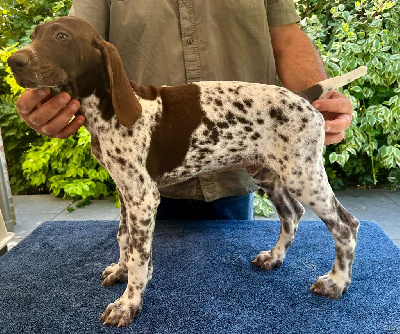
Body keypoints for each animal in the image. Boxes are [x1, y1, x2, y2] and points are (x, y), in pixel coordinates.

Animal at [7, 17, 368, 328]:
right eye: (35, 35)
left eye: (61, 37)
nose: (13, 61)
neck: (108, 109)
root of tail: (302, 97)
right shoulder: (125, 191)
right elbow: (124, 239)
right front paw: (121, 272)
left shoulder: (143, 197)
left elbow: (139, 256)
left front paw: (128, 303)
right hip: (268, 171)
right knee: (292, 213)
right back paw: (274, 258)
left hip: (302, 172)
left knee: (345, 224)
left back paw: (336, 282)